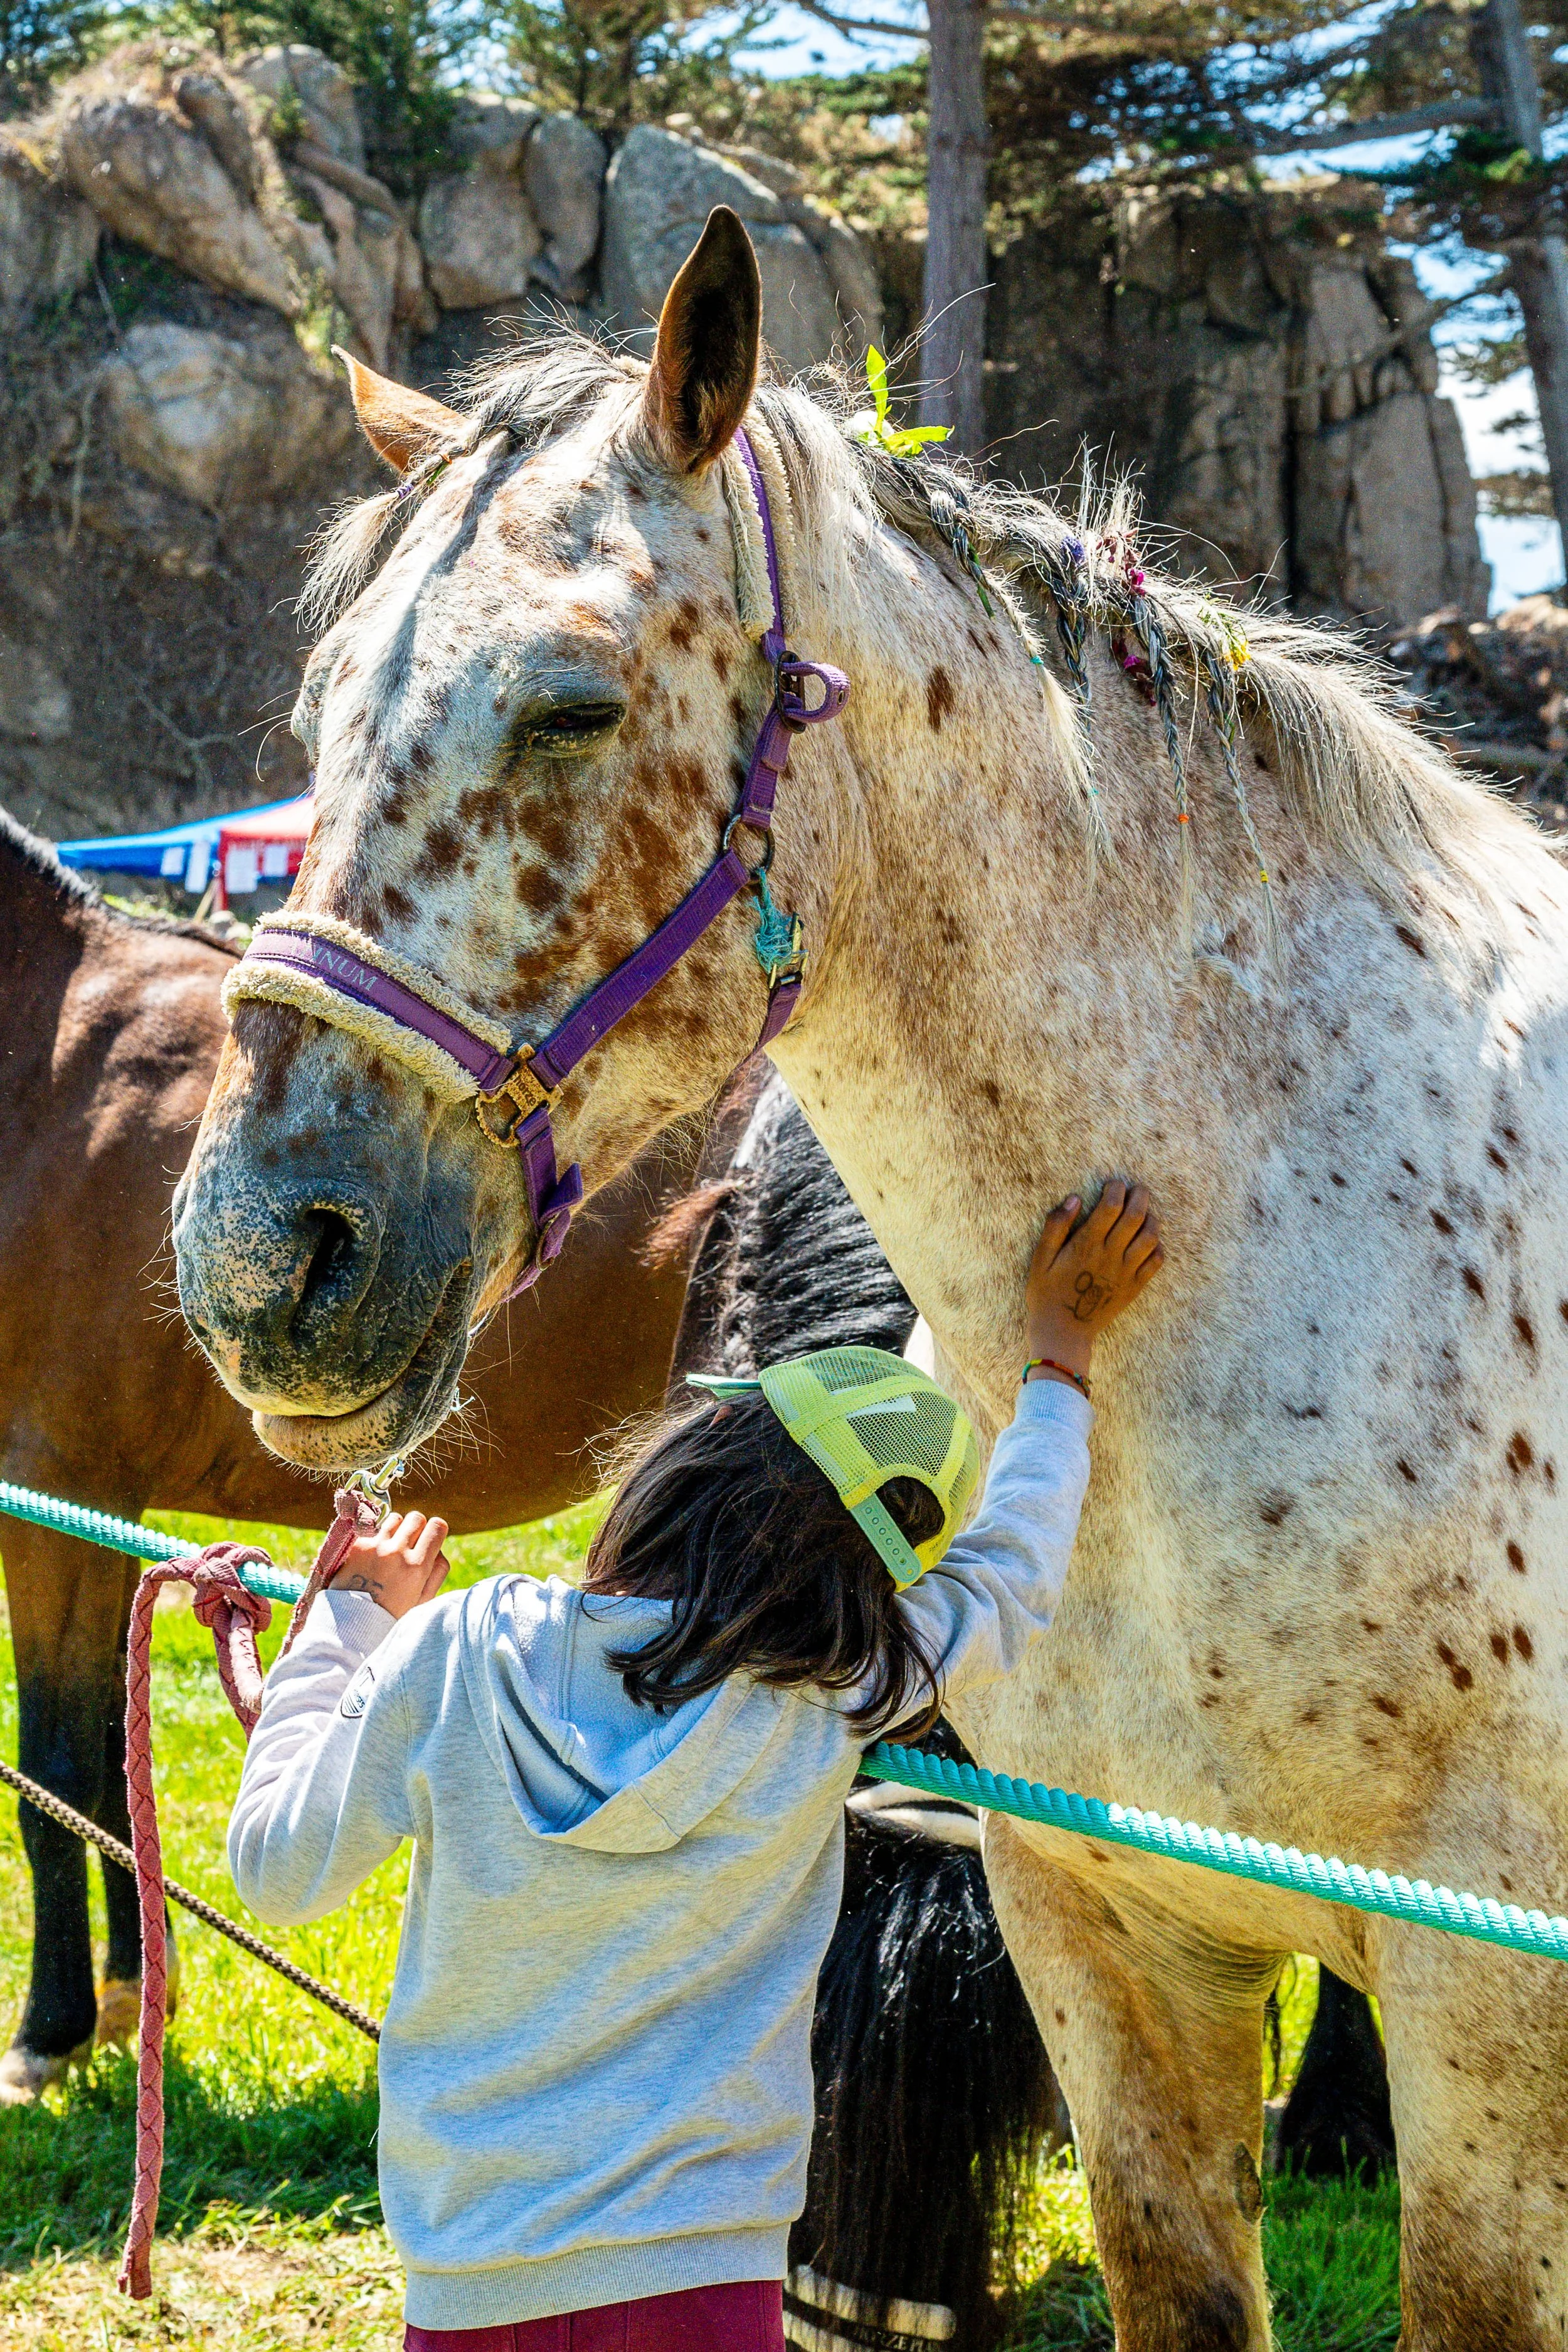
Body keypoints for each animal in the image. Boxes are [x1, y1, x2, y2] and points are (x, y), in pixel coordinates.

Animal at [0, 809, 700, 2101]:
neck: (51, 1060)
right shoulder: (102, 1508)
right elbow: (115, 1766)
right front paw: (129, 2001)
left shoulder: (55, 1491)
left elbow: (59, 1772)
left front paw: (49, 2032)